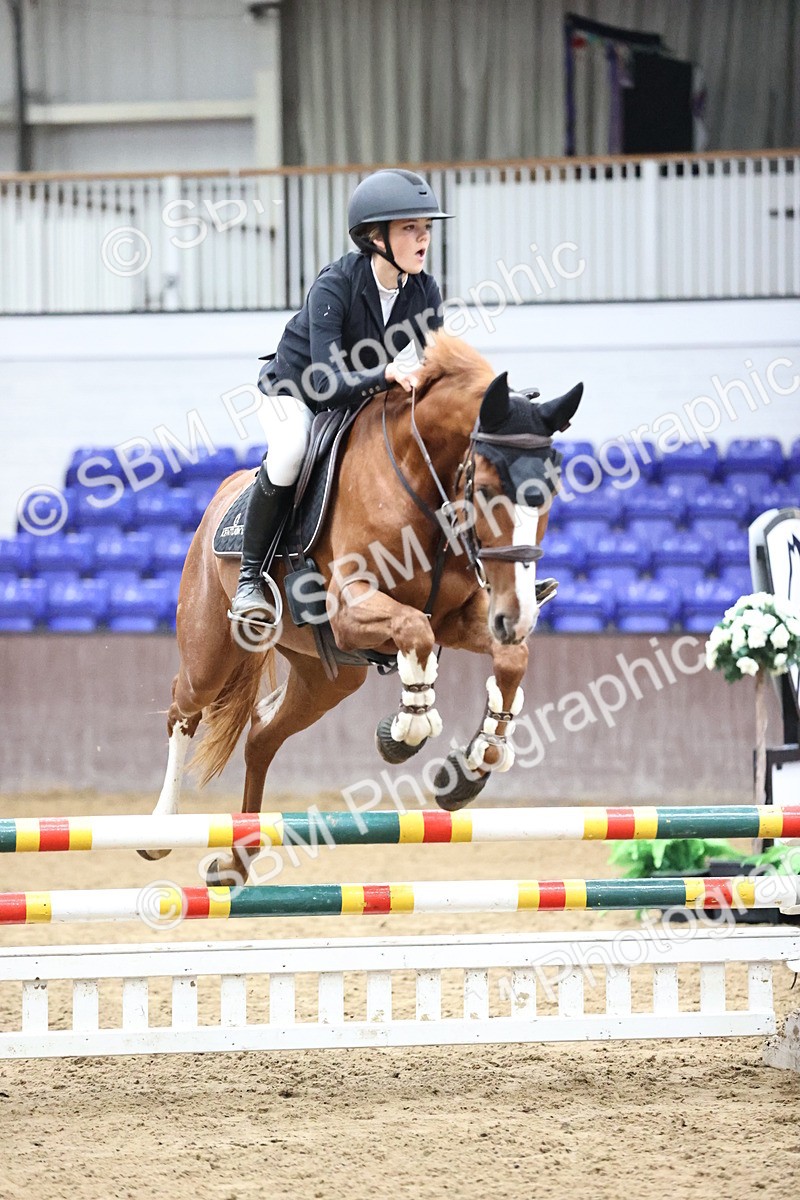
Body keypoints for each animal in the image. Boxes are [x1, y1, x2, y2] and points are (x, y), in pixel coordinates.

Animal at [141, 334, 583, 884]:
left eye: (550, 493)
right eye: (483, 489)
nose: (516, 616)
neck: (421, 481)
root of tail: (224, 493)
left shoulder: (460, 618)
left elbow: (509, 660)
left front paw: (474, 762)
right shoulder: (352, 609)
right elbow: (414, 632)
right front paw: (406, 729)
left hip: (327, 678)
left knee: (262, 736)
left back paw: (236, 861)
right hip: (211, 650)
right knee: (183, 709)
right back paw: (161, 830)